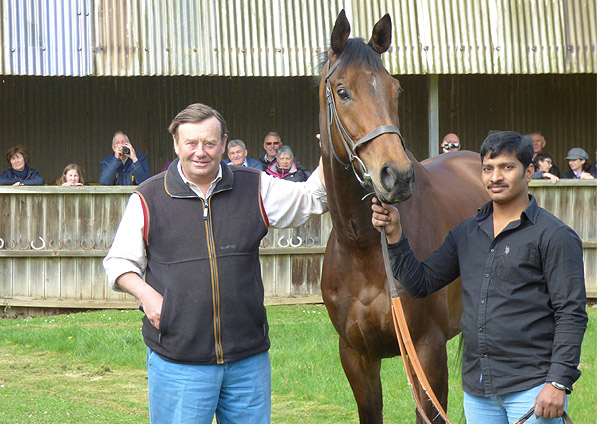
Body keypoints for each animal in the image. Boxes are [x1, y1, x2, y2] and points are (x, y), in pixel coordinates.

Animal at [318, 10, 486, 424]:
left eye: (396, 90)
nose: (397, 175)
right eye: (343, 91)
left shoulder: (426, 349)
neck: (363, 250)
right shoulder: (357, 357)